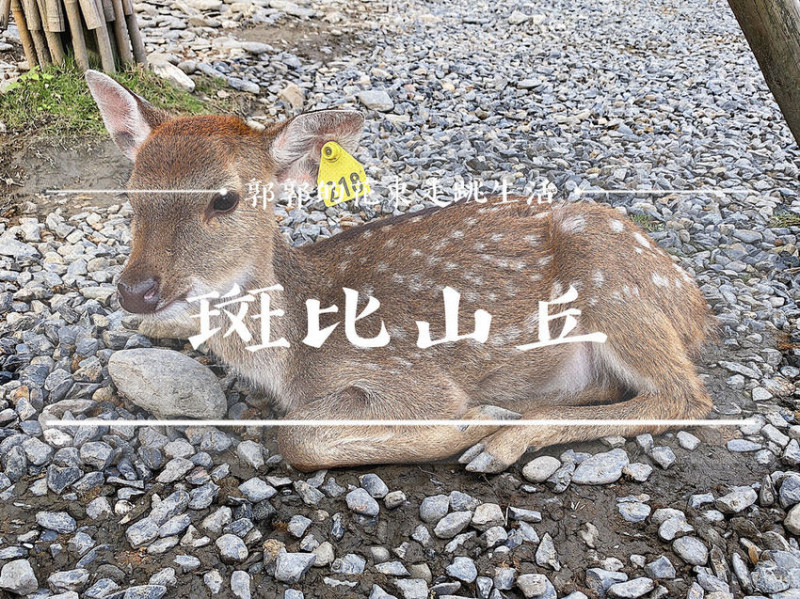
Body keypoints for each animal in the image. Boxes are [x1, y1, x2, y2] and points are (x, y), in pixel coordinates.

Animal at [86, 70, 715, 473]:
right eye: (131, 194)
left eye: (224, 199)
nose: (136, 292)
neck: (290, 358)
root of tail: (695, 305)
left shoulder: (409, 374)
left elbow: (295, 436)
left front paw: (474, 422)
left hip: (612, 280)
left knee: (686, 396)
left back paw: (501, 439)